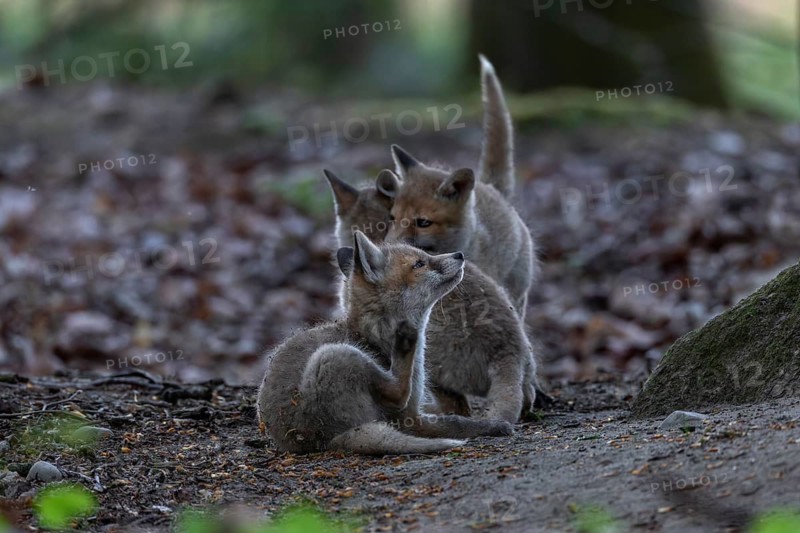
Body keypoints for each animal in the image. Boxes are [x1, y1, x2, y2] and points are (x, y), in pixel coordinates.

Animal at [257, 231, 513, 454]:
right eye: (419, 264)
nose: (459, 254)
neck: (377, 333)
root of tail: (325, 440)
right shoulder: (411, 417)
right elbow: (456, 422)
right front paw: (492, 425)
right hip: (335, 356)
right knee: (397, 390)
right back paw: (405, 345)